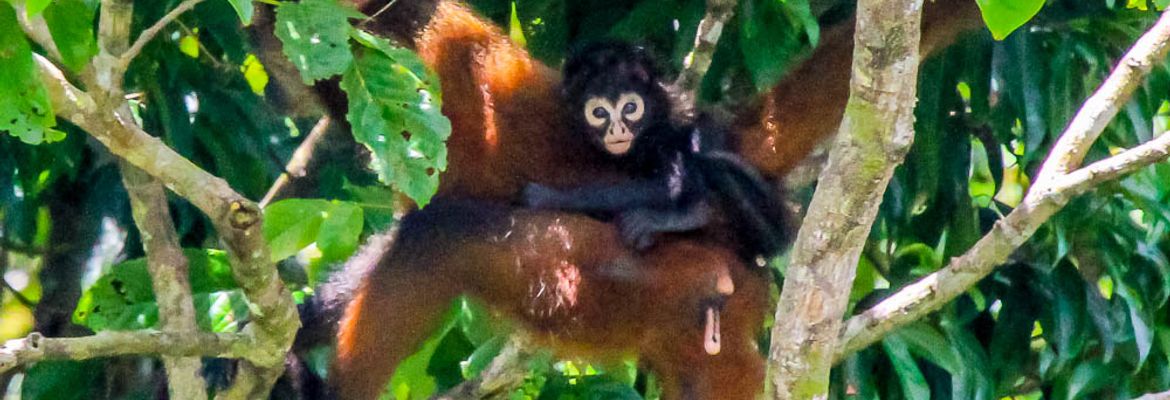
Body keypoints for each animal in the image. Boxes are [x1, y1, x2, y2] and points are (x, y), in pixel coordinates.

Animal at [522, 40, 793, 261]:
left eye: (630, 108)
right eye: (599, 112)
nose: (617, 130)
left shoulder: (663, 130)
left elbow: (669, 185)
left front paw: (550, 197)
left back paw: (691, 214)